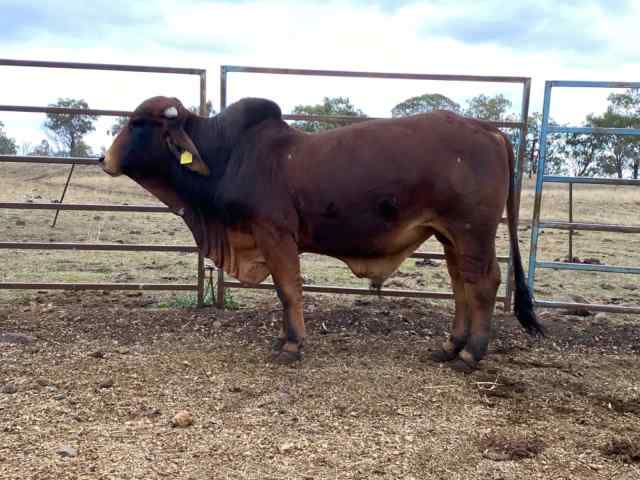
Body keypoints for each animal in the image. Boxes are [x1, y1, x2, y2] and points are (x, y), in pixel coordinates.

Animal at [99, 94, 540, 372]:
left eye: (137, 123)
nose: (103, 159)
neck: (229, 154)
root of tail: (490, 129)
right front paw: (284, 340)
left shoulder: (275, 233)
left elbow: (288, 291)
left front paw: (292, 346)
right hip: (449, 235)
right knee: (461, 284)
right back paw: (450, 347)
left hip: (473, 231)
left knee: (484, 284)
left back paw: (471, 356)